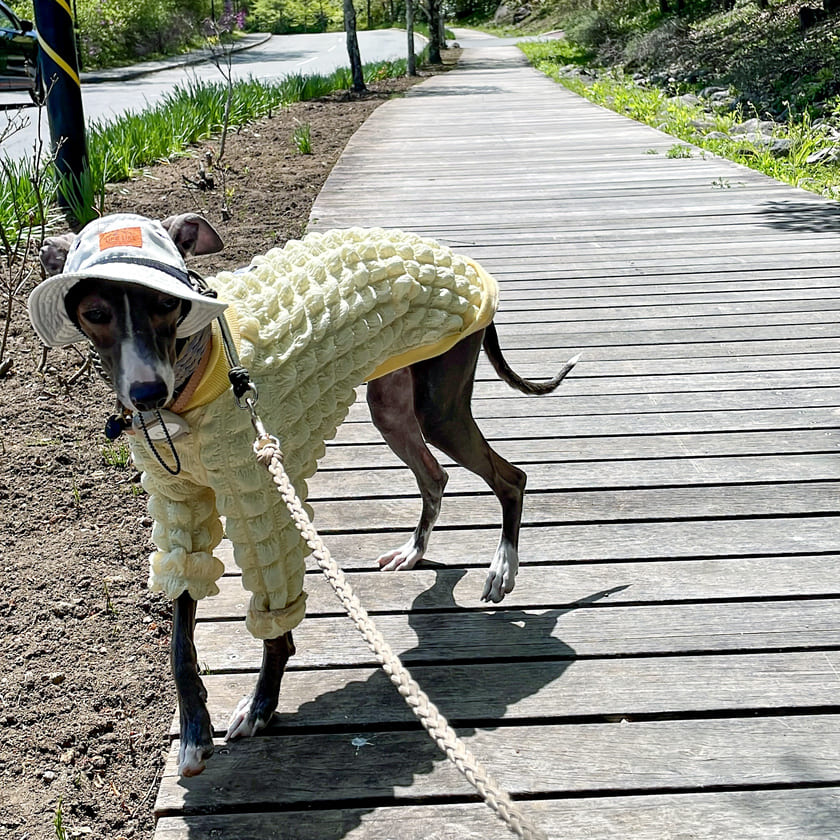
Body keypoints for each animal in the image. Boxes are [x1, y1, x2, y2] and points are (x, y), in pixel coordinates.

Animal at [27, 212, 576, 776]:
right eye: (95, 313)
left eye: (165, 303)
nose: (146, 395)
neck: (193, 376)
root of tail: (458, 260)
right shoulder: (180, 503)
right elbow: (180, 638)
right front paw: (194, 732)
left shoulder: (265, 501)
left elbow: (275, 629)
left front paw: (260, 706)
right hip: (392, 404)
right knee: (435, 477)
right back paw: (413, 551)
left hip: (439, 406)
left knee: (511, 479)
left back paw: (502, 568)